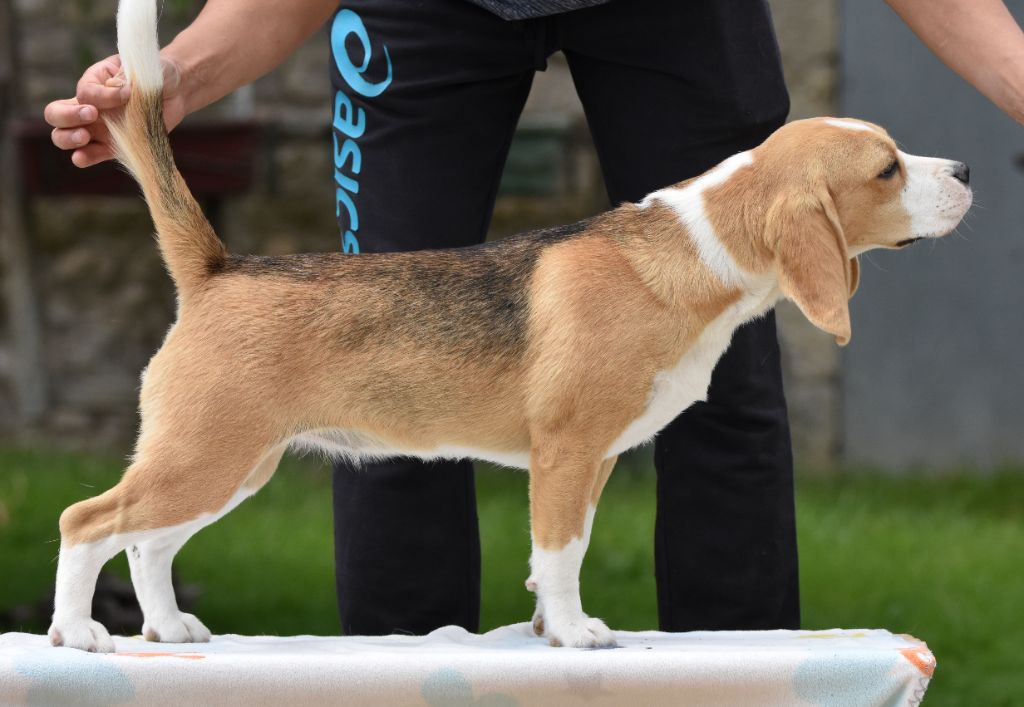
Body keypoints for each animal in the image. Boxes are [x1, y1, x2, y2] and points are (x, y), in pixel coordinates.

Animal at [49, 0, 974, 651]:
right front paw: (573, 635)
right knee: (87, 524)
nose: (965, 168)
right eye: (887, 169)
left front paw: (551, 626)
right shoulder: (565, 453)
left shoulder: (595, 460)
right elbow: (560, 552)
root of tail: (218, 269)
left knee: (147, 546)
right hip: (208, 455)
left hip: (230, 464)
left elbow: (564, 549)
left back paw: (167, 629)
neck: (695, 248)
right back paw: (78, 632)